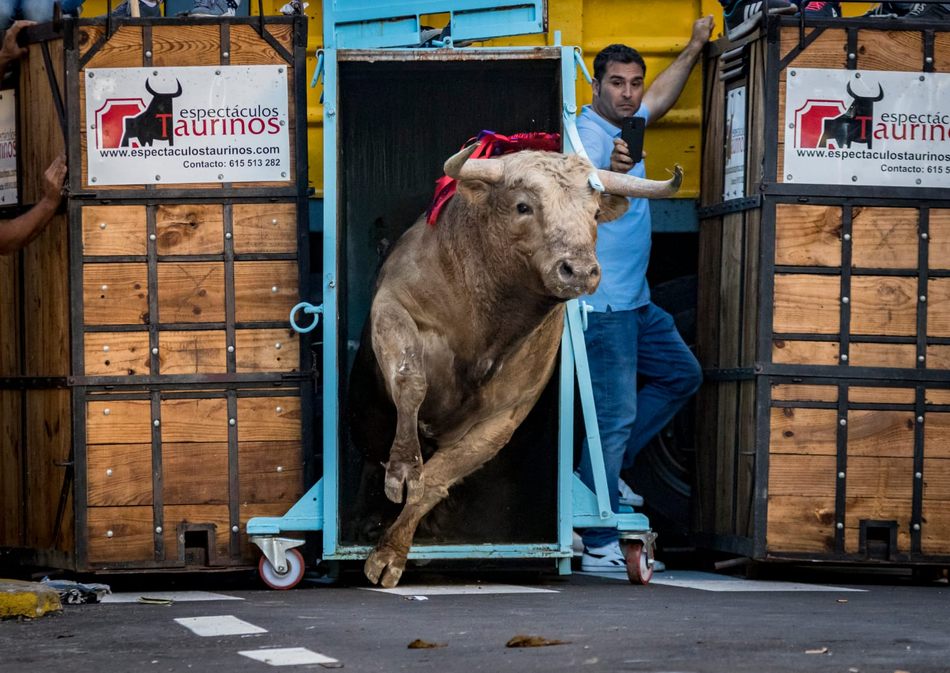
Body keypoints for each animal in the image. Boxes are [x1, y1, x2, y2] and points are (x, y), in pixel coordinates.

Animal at [350, 144, 684, 584]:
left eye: (595, 213)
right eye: (523, 206)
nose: (579, 270)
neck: (486, 320)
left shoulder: (503, 417)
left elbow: (437, 479)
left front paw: (391, 553)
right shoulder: (394, 308)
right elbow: (411, 380)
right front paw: (404, 469)